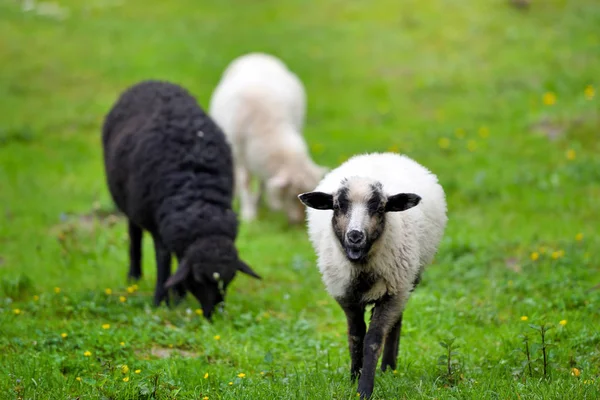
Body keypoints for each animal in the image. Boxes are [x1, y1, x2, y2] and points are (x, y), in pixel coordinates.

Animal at [101, 79, 260, 320]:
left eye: (231, 278)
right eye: (199, 279)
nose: (214, 316)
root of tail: (152, 81)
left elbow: (178, 261)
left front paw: (179, 295)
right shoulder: (158, 228)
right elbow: (163, 261)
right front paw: (161, 300)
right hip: (130, 204)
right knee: (134, 234)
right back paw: (134, 276)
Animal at [207, 52, 328, 225]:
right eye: (291, 195)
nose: (298, 223)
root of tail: (257, 55)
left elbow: (263, 183)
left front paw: (257, 204)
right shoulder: (241, 155)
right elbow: (246, 183)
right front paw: (249, 215)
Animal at [298, 152, 446, 398]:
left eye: (379, 208)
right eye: (337, 206)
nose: (355, 236)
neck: (361, 268)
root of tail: (382, 154)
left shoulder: (391, 294)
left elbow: (373, 340)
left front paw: (365, 389)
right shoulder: (346, 296)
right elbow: (356, 336)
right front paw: (353, 379)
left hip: (407, 281)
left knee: (396, 322)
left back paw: (389, 368)